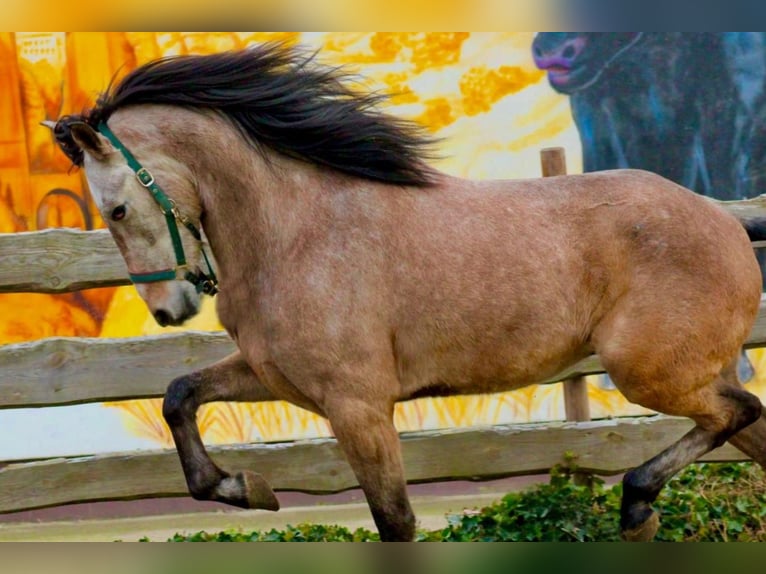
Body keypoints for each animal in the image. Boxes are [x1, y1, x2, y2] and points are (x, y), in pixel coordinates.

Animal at [46, 42, 766, 544]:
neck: (297, 232)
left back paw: (638, 504)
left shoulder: (358, 407)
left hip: (648, 370)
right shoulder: (274, 377)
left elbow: (394, 522)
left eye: (113, 209)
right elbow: (179, 396)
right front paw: (247, 488)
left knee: (739, 412)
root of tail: (724, 216)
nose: (170, 309)